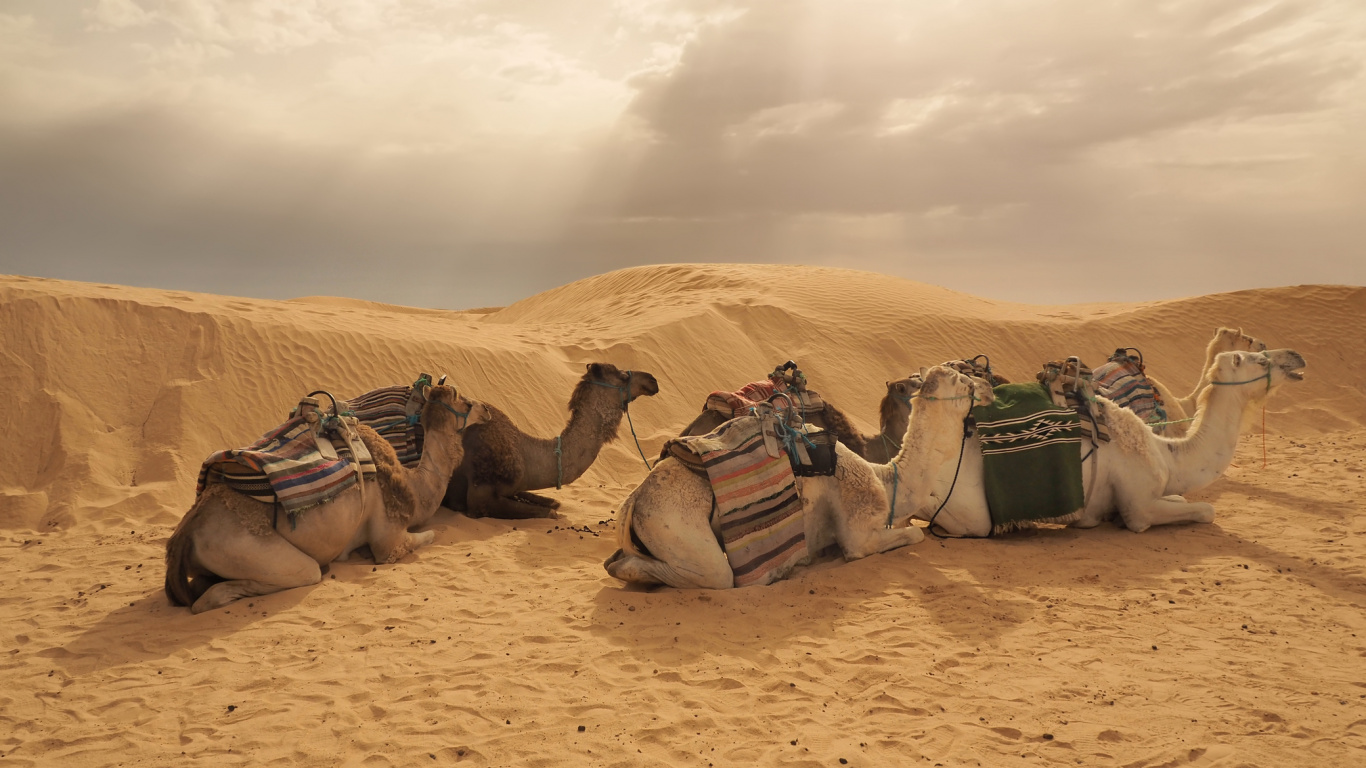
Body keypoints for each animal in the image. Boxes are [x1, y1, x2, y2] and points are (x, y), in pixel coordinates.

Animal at [165, 384, 486, 614]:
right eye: (466, 402)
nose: (487, 409)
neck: (413, 485)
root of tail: (187, 530)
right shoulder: (389, 540)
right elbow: (429, 536)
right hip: (245, 547)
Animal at [444, 363, 660, 519]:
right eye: (623, 376)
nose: (653, 380)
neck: (524, 453)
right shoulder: (480, 496)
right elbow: (551, 512)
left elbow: (554, 503)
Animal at [604, 366, 993, 589]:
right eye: (962, 379)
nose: (990, 387)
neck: (887, 477)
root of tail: (633, 502)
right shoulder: (859, 534)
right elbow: (914, 535)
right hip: (677, 527)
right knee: (710, 574)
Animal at [923, 349, 1304, 537]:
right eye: (1261, 359)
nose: (1297, 357)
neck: (1167, 454)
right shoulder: (1139, 504)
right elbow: (1205, 511)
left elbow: (1183, 499)